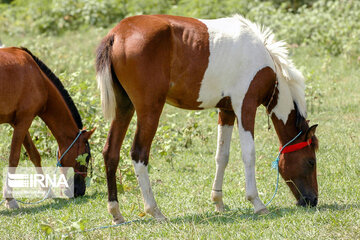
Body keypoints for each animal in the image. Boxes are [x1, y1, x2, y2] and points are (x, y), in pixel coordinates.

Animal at [0, 47, 95, 208]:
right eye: (86, 157)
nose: (80, 191)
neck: (38, 77)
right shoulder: (24, 121)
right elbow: (14, 158)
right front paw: (10, 199)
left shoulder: (18, 121)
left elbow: (34, 156)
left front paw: (48, 192)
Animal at [95, 14, 318, 223]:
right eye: (311, 162)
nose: (313, 200)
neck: (263, 61)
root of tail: (117, 34)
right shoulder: (244, 107)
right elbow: (249, 154)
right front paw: (256, 202)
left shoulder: (226, 111)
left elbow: (222, 156)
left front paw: (218, 201)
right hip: (149, 110)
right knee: (139, 153)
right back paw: (155, 211)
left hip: (124, 107)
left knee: (111, 152)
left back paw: (116, 213)